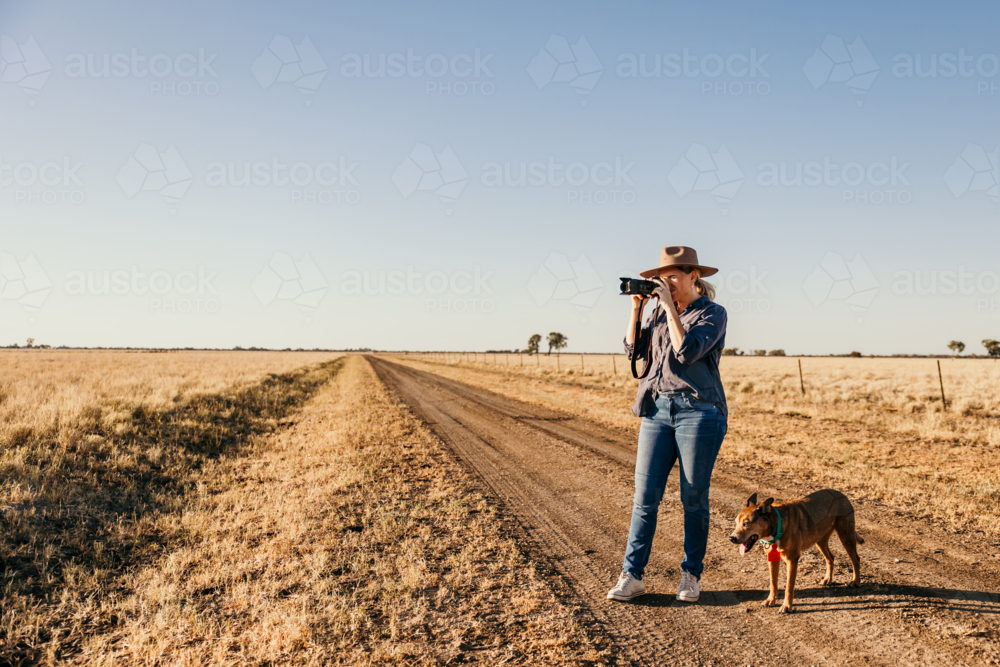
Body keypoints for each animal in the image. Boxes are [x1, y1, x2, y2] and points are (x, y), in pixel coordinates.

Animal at [732, 488, 864, 612]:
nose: (731, 538)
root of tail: (841, 494)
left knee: (856, 559)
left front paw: (786, 606)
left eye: (746, 523)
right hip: (820, 540)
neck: (777, 525)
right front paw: (771, 600)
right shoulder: (773, 560)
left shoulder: (792, 560)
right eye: (736, 523)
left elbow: (789, 588)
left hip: (846, 537)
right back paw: (828, 579)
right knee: (830, 558)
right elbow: (773, 583)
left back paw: (855, 581)